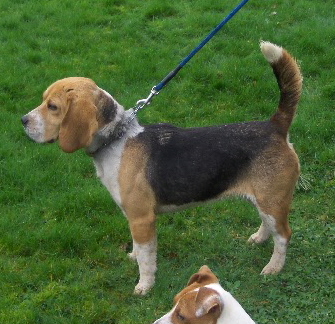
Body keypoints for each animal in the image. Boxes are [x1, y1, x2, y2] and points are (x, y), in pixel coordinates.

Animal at [22, 42, 304, 296]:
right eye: (44, 101)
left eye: (53, 107)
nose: (23, 121)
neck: (117, 139)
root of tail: (274, 126)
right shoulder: (132, 216)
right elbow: (139, 248)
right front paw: (133, 257)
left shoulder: (142, 218)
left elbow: (147, 258)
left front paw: (144, 286)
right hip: (265, 199)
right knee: (269, 225)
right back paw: (259, 239)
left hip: (272, 200)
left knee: (284, 235)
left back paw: (273, 267)